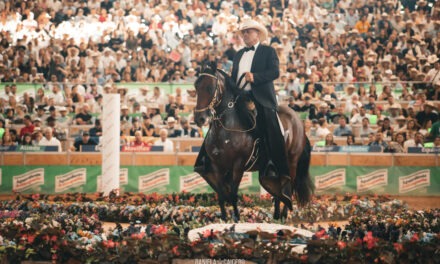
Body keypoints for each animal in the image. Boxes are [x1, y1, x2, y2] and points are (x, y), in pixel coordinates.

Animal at [192, 64, 312, 221]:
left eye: (209, 87)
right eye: (196, 86)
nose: (199, 118)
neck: (226, 129)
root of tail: (297, 119)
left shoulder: (238, 165)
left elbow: (233, 194)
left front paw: (236, 219)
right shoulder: (217, 166)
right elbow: (221, 194)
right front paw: (224, 219)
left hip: (291, 162)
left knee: (289, 186)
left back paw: (284, 215)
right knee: (278, 190)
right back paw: (276, 216)